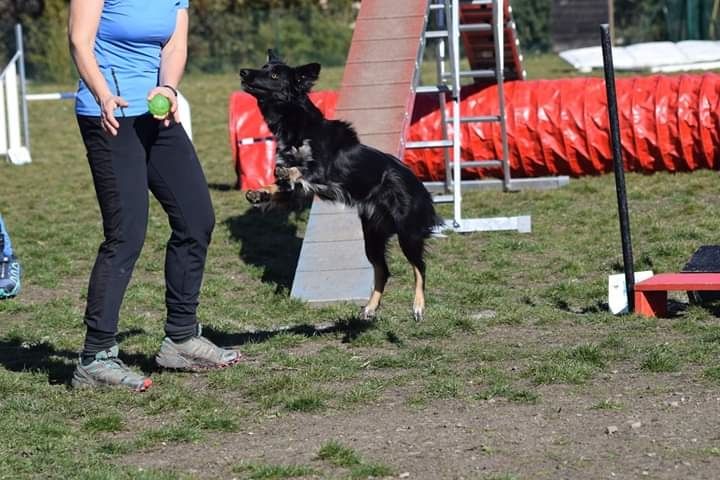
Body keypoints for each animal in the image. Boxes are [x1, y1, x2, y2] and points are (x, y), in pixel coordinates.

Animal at [242, 50, 442, 320]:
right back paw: (370, 307)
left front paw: (287, 173)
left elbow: (303, 170)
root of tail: (422, 189)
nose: (243, 72)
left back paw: (418, 305)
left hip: (407, 233)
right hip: (373, 236)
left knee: (419, 266)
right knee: (383, 269)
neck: (295, 126)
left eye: (274, 75)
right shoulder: (300, 192)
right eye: (264, 68)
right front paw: (260, 193)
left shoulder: (325, 171)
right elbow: (282, 187)